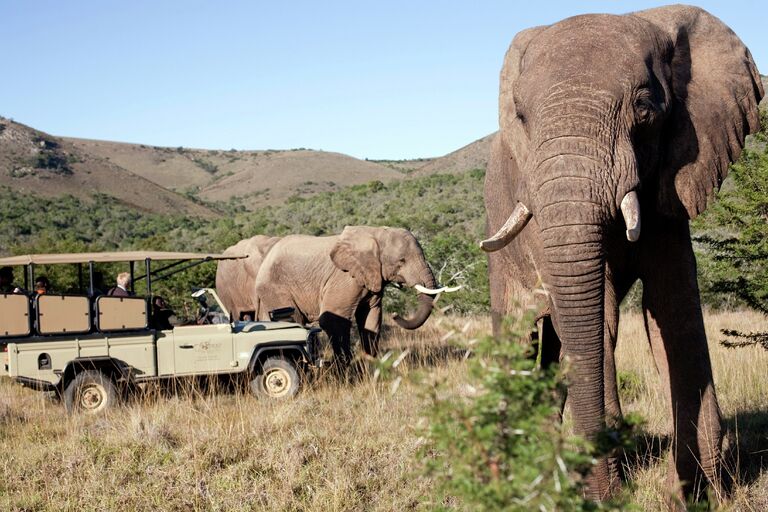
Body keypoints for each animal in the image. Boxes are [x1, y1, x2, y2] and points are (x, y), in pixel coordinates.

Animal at [216, 227, 444, 364]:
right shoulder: (344, 278)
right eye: (402, 261)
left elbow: (371, 318)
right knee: (292, 320)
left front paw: (373, 364)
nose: (397, 315)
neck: (375, 233)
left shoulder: (371, 277)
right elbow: (332, 320)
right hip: (273, 288)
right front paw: (347, 368)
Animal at [480, 5, 760, 508]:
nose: (602, 495)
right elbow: (603, 315)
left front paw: (698, 493)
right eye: (522, 116)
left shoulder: (672, 183)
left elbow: (672, 307)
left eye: (645, 108)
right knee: (519, 336)